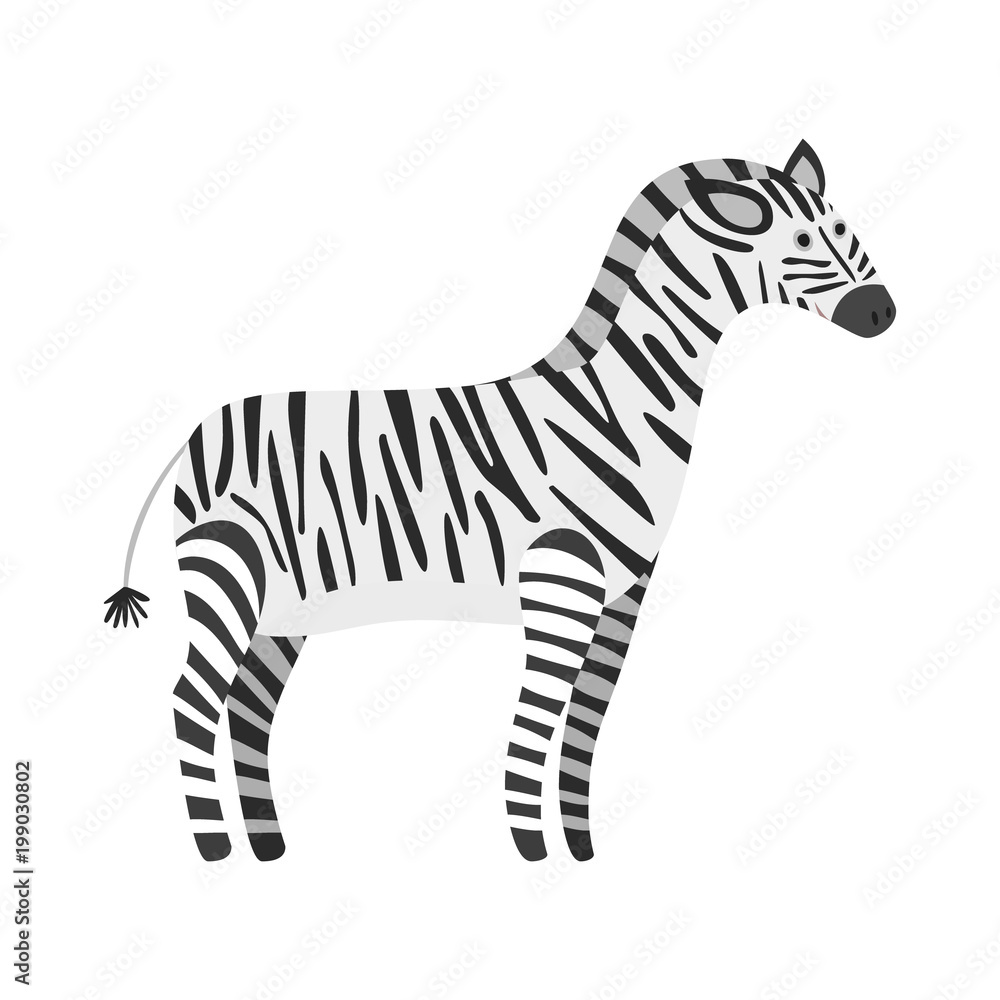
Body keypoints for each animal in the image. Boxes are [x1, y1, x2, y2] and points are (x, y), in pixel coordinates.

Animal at [104, 140, 895, 865]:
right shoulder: (560, 583)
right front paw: (534, 852)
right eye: (800, 242)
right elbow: (537, 723)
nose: (882, 311)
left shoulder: (624, 596)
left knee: (248, 711)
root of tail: (194, 434)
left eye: (843, 226)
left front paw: (578, 852)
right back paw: (216, 854)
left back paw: (270, 852)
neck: (617, 403)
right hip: (229, 570)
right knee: (192, 700)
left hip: (288, 605)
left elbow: (583, 729)